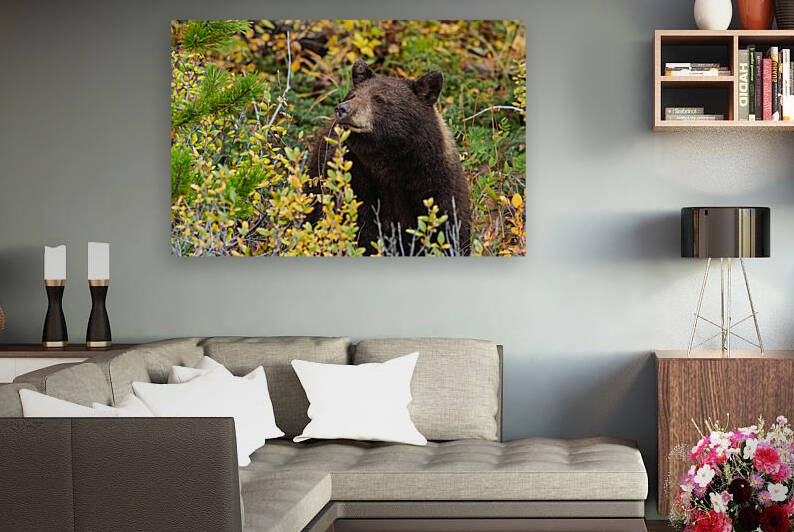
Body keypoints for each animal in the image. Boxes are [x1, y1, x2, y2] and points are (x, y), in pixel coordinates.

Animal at [307, 58, 471, 256]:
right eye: (352, 95)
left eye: (379, 99)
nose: (343, 109)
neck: (389, 162)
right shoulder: (355, 179)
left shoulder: (436, 181)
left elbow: (449, 227)